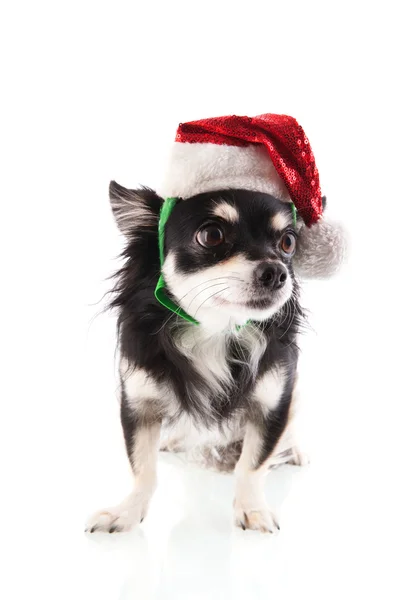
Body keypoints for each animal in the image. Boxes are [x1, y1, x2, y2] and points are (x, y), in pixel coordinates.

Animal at [86, 180, 310, 532]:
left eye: (288, 243)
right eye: (212, 235)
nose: (276, 272)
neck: (215, 331)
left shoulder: (274, 400)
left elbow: (252, 463)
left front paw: (252, 509)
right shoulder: (139, 402)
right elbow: (142, 467)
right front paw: (127, 512)